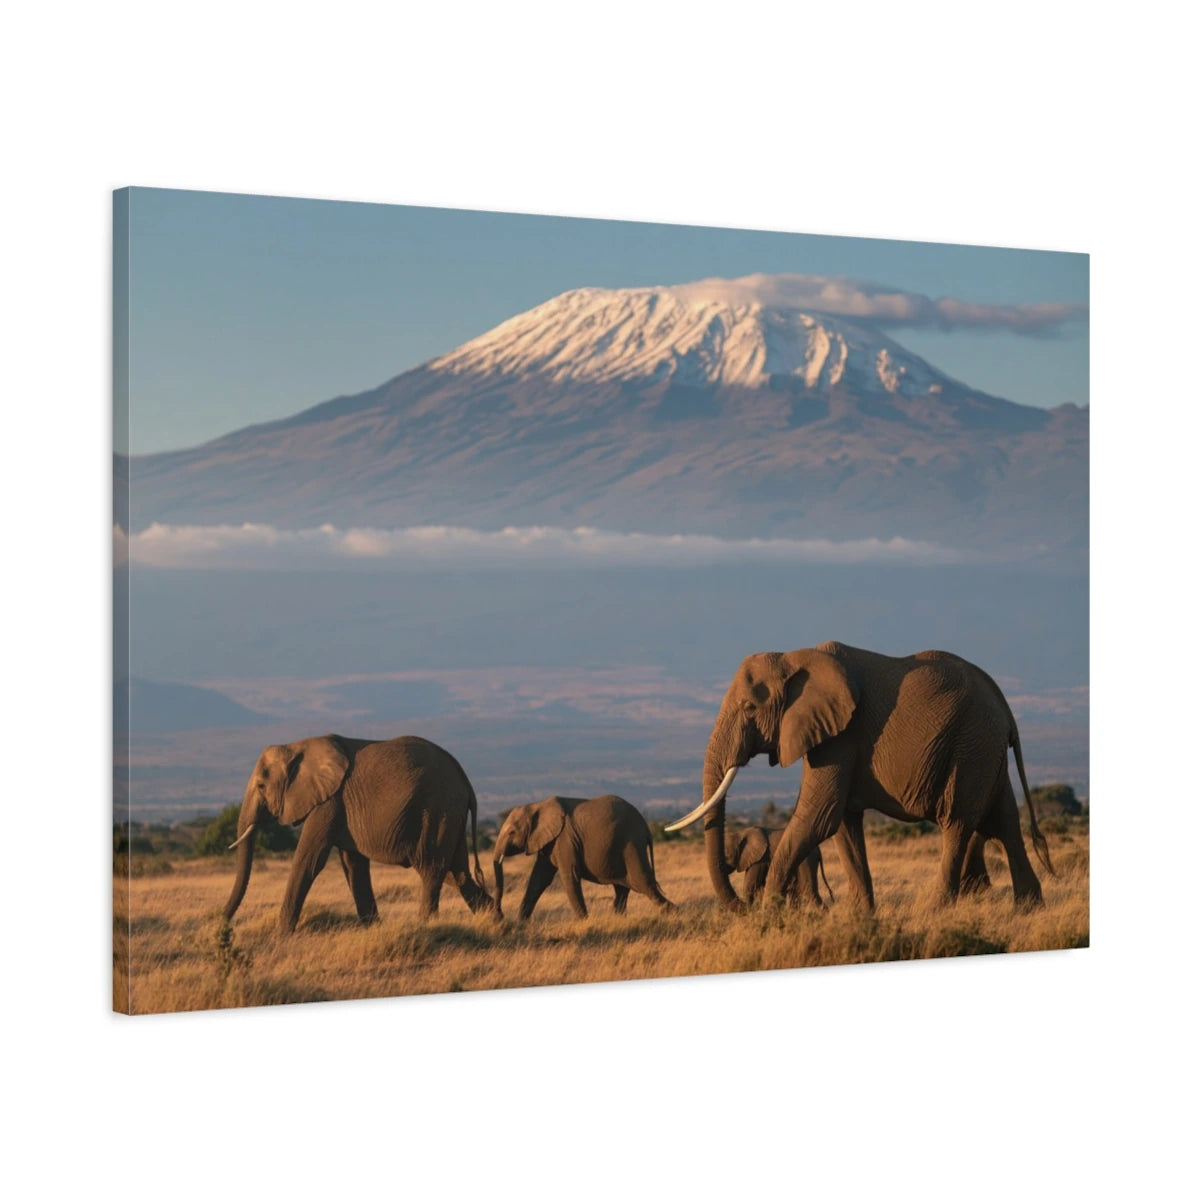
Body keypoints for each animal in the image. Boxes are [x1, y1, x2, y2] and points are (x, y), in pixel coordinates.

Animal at [223, 734, 494, 934]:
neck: (296, 746)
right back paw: (496, 921)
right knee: (457, 874)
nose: (223, 925)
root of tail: (465, 781)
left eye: (261, 786)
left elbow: (308, 860)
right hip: (451, 815)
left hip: (438, 809)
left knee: (431, 868)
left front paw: (282, 935)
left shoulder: (328, 802)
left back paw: (427, 926)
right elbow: (353, 866)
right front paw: (373, 929)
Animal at [492, 794, 673, 920]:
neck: (538, 805)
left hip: (631, 846)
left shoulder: (565, 839)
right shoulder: (548, 842)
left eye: (511, 832)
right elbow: (539, 878)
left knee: (643, 884)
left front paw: (584, 921)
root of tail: (645, 826)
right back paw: (619, 918)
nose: (500, 916)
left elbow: (569, 876)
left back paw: (673, 913)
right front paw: (520, 923)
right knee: (623, 889)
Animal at [667, 642, 1053, 912]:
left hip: (970, 745)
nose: (743, 909)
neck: (793, 657)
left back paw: (934, 910)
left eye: (749, 708)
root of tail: (1006, 709)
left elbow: (820, 817)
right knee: (1004, 821)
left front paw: (769, 917)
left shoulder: (842, 735)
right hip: (986, 751)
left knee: (957, 822)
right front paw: (860, 918)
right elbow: (843, 824)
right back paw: (1028, 909)